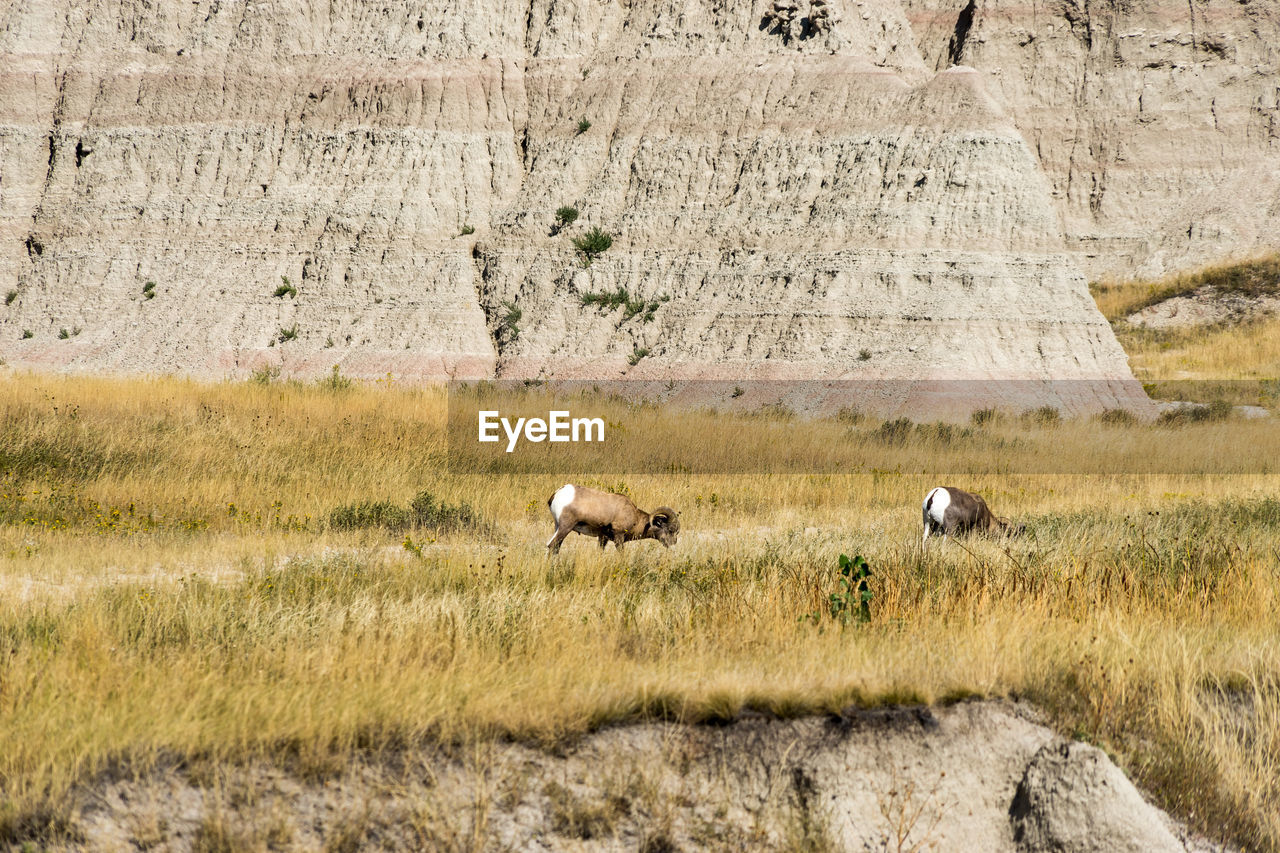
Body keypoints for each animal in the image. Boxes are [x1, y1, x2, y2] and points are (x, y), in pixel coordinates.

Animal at [545, 481, 680, 555]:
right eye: (671, 530)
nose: (673, 545)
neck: (635, 517)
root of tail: (556, 494)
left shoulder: (603, 538)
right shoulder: (618, 537)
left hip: (558, 527)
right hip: (565, 527)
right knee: (552, 546)